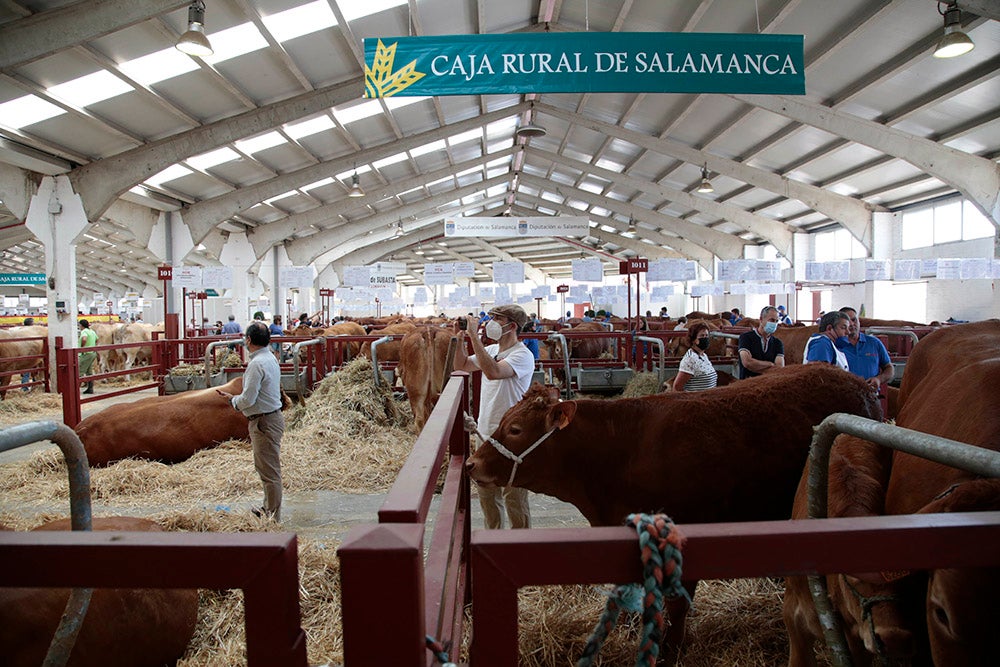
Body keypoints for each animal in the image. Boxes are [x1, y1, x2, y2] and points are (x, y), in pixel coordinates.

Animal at [464, 360, 880, 656]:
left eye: (515, 429)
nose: (471, 464)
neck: (620, 451)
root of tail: (858, 382)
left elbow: (678, 604)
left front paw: (670, 649)